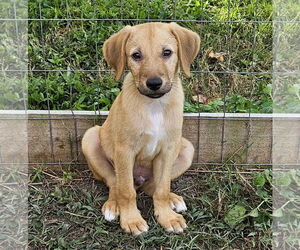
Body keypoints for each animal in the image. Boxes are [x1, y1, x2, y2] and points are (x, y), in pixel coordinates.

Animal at [81, 22, 200, 235]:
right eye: (136, 55)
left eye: (167, 52)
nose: (154, 83)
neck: (154, 105)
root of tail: (140, 179)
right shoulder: (124, 150)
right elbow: (126, 191)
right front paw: (132, 220)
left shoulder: (168, 149)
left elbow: (162, 189)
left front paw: (167, 217)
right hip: (91, 138)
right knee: (116, 183)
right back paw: (113, 205)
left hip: (187, 148)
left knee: (152, 186)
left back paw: (173, 199)